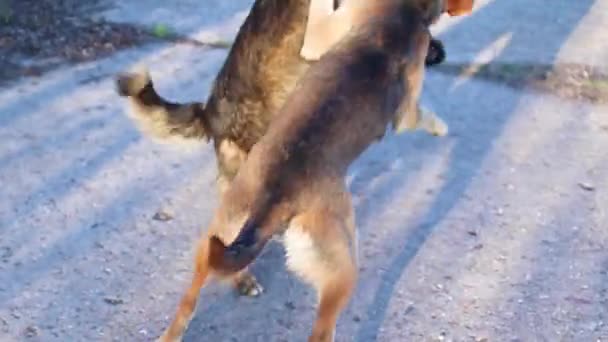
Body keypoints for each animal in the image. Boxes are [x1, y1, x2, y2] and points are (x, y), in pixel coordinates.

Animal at [154, 0, 444, 340]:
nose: (441, 53)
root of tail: (273, 198)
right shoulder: (406, 109)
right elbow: (420, 115)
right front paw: (439, 126)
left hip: (218, 233)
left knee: (192, 294)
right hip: (342, 270)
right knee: (321, 329)